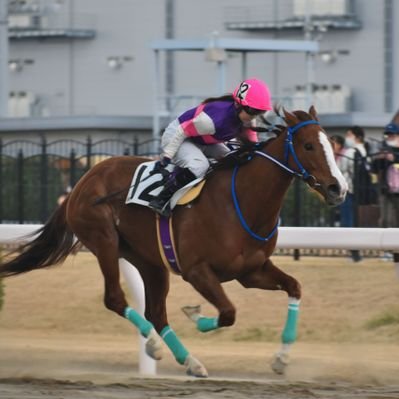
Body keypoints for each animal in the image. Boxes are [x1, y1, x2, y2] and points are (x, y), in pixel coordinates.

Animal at [0, 106, 346, 378]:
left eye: (330, 144)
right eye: (308, 145)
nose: (337, 188)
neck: (242, 201)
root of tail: (82, 181)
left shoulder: (251, 271)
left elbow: (294, 287)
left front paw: (281, 359)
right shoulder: (197, 271)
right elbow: (228, 312)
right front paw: (195, 314)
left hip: (149, 261)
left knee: (156, 312)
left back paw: (190, 361)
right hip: (104, 241)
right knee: (115, 298)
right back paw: (154, 345)